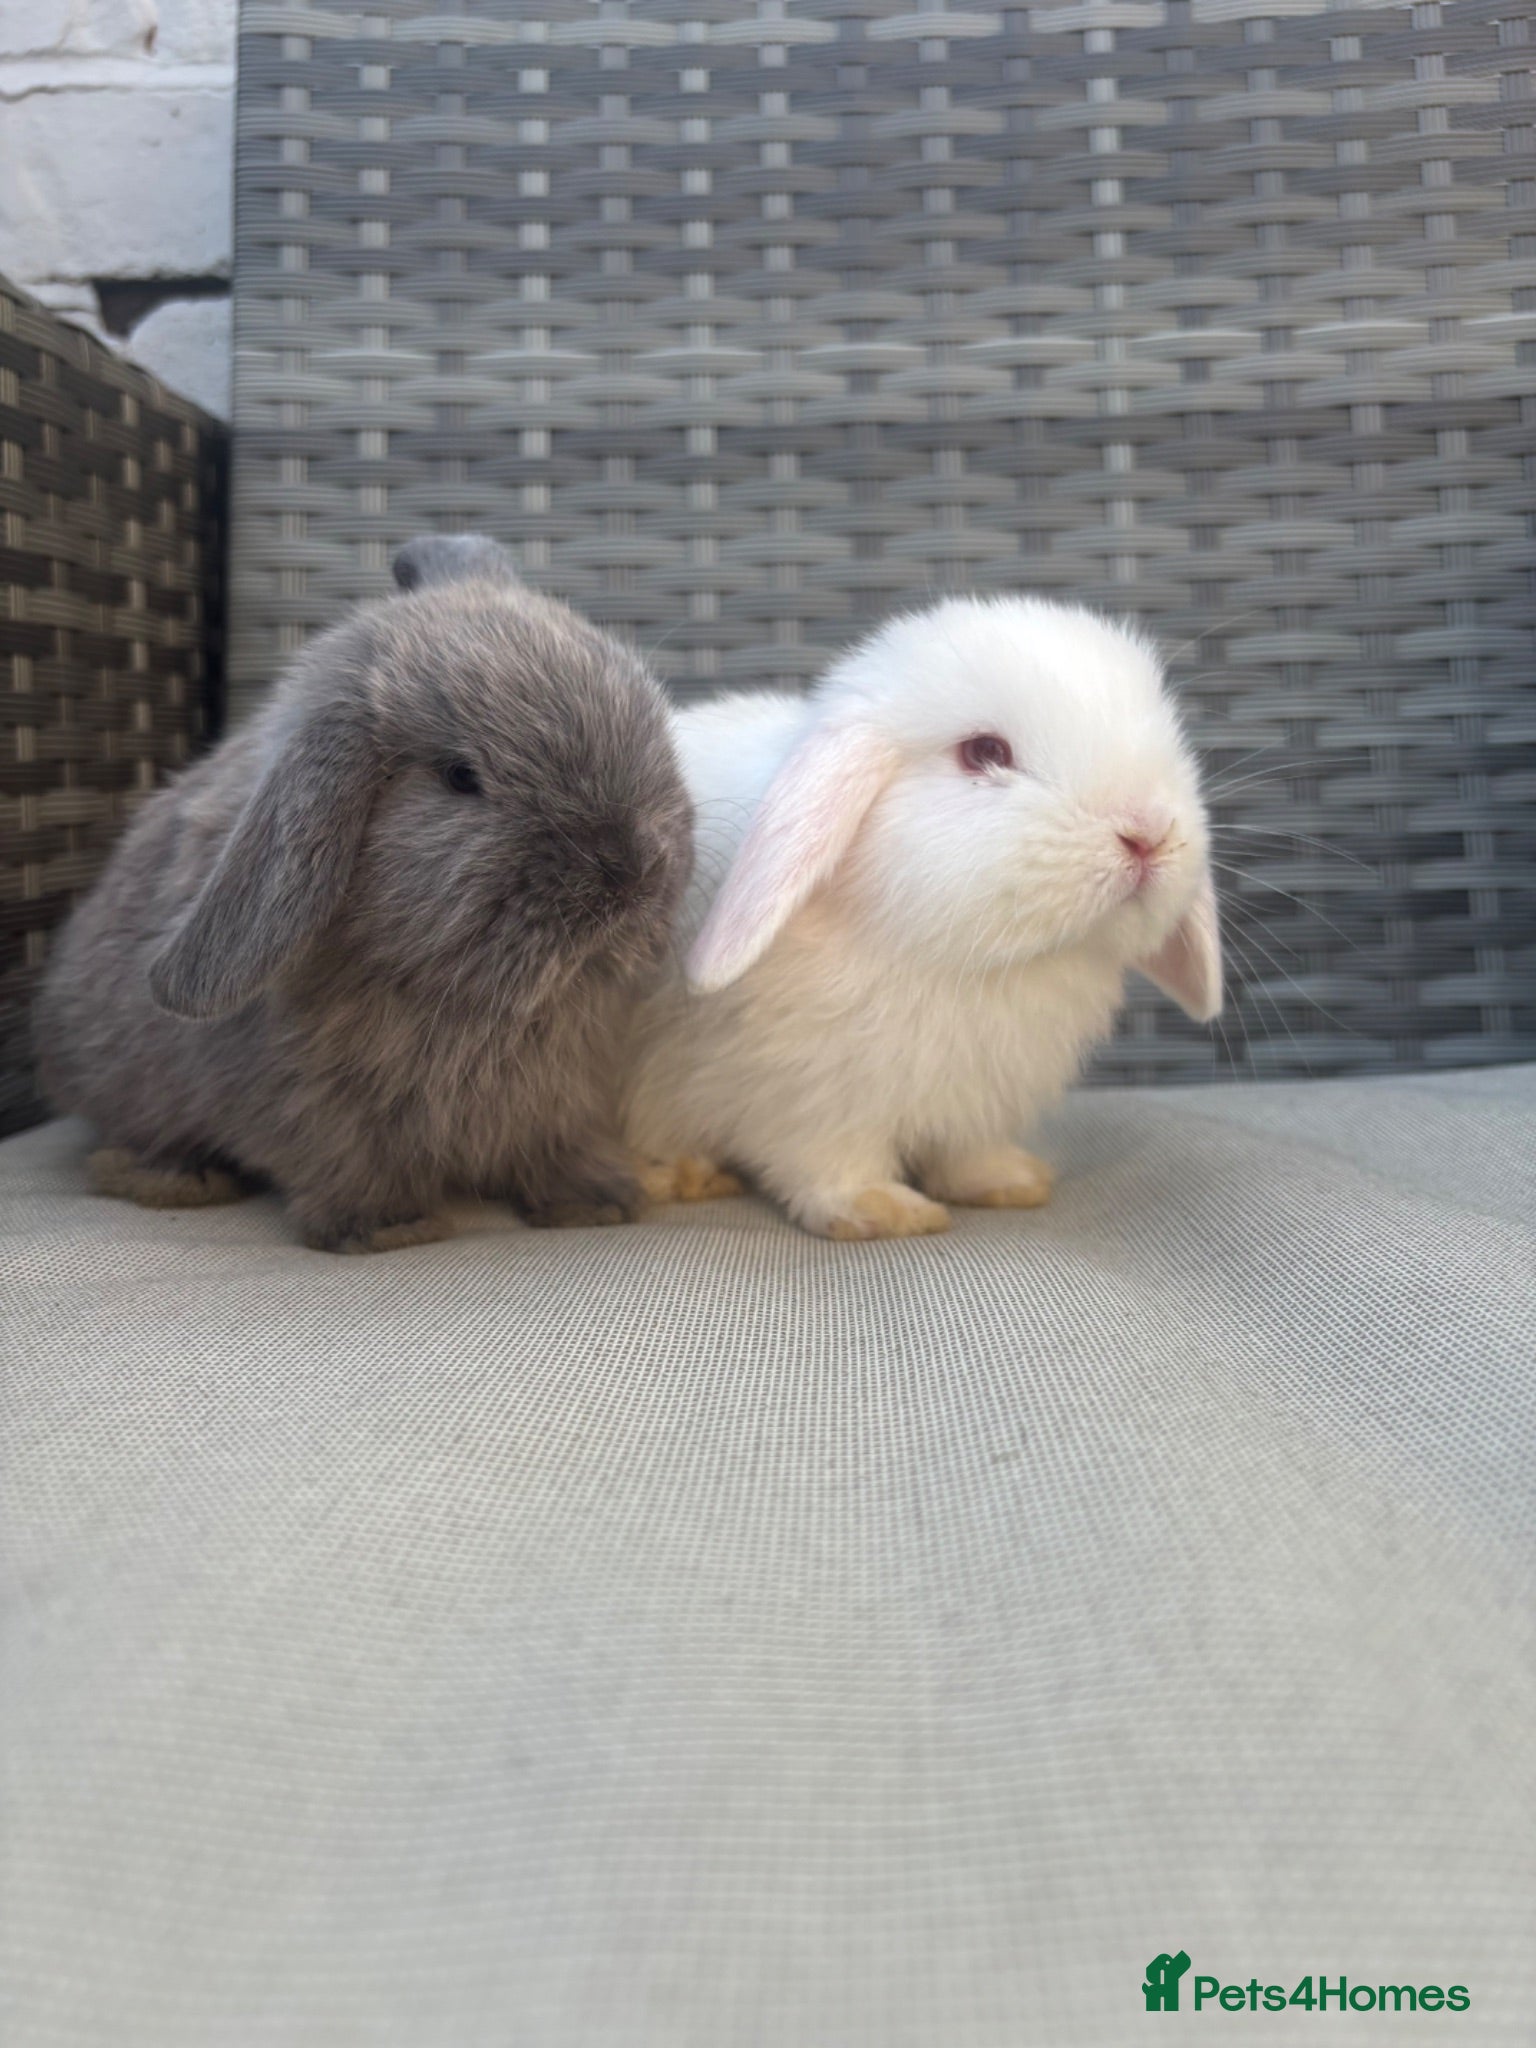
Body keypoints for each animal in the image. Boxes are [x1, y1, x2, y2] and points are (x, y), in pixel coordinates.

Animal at [35, 535, 693, 1252]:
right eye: (460, 778)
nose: (633, 872)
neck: (471, 1004)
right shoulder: (313, 1109)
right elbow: (351, 1166)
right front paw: (387, 1229)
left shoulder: (562, 1106)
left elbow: (557, 1151)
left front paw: (598, 1202)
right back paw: (179, 1180)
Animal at [624, 596, 1221, 1240]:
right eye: (984, 753)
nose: (1149, 833)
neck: (971, 964)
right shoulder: (811, 1098)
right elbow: (825, 1163)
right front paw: (882, 1212)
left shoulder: (975, 1102)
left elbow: (967, 1154)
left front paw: (1011, 1182)